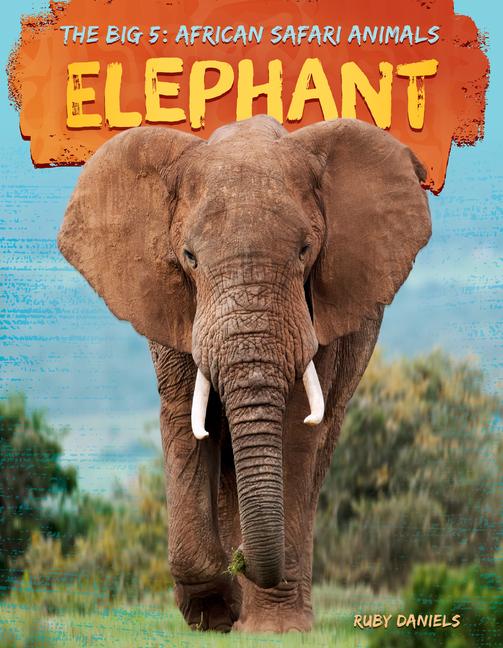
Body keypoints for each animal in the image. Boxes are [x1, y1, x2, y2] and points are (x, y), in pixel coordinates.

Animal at [58, 115, 431, 633]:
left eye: (305, 250)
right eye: (189, 257)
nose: (242, 562)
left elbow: (296, 428)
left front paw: (273, 628)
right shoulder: (175, 305)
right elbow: (186, 418)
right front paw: (215, 614)